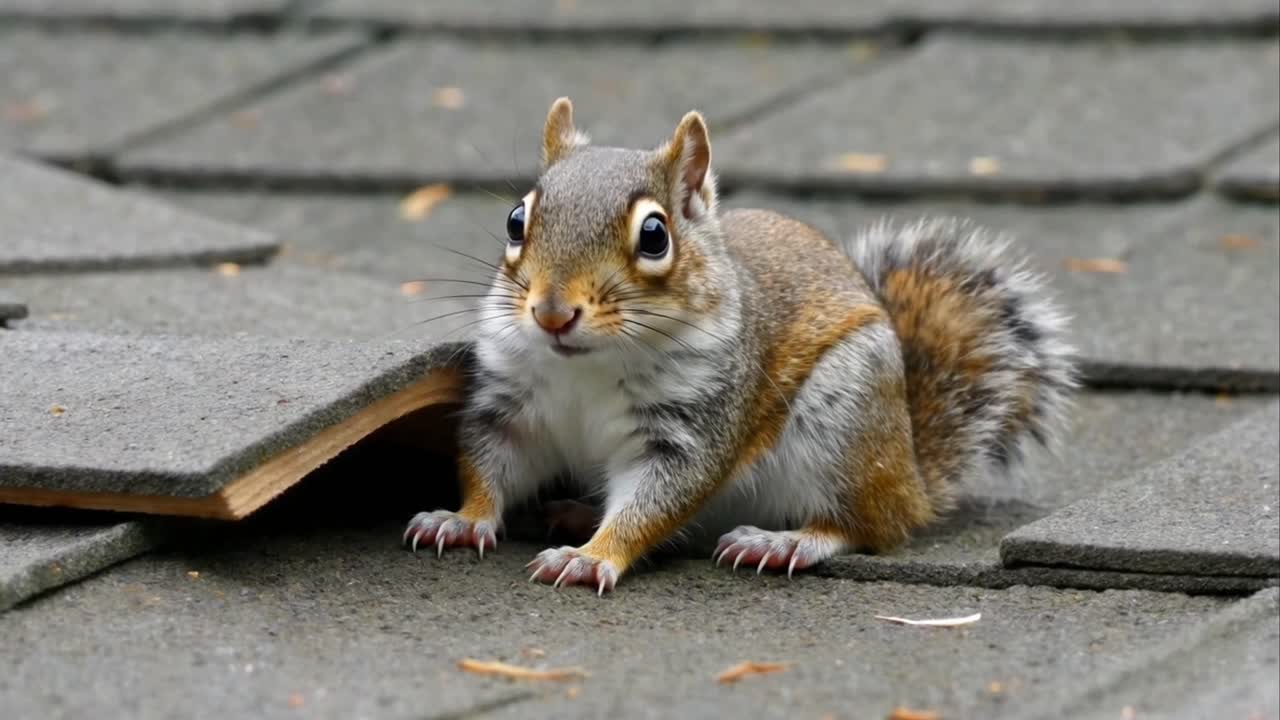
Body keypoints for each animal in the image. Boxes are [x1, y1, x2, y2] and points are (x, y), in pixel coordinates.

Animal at [404, 97, 1077, 594]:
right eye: (516, 221)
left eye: (655, 235)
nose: (551, 314)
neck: (587, 370)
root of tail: (912, 473)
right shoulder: (510, 406)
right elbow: (489, 465)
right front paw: (460, 520)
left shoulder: (692, 424)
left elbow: (656, 500)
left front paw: (593, 556)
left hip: (844, 421)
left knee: (868, 525)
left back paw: (785, 541)